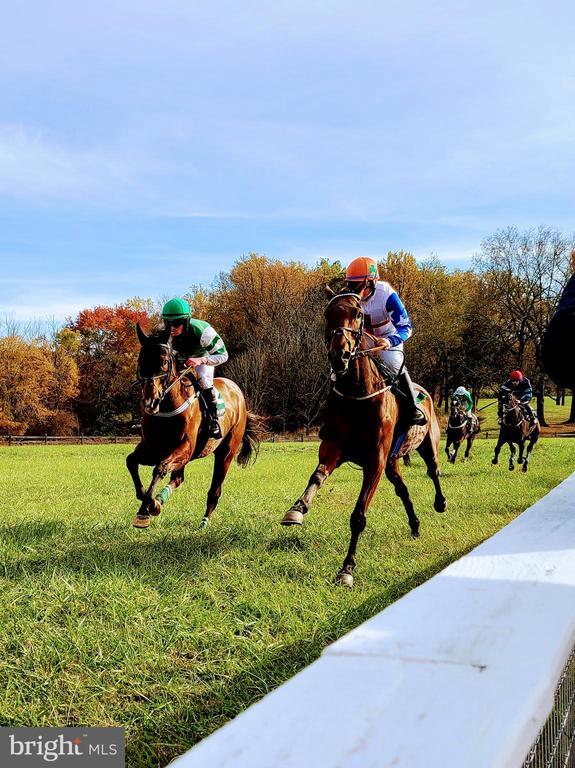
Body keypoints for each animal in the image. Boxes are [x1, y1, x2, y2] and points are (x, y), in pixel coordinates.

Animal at [128, 324, 264, 528]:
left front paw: (146, 509)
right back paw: (160, 501)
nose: (150, 402)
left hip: (227, 452)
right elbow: (131, 461)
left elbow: (159, 468)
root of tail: (237, 391)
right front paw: (147, 499)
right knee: (178, 478)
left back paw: (204, 522)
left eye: (164, 362)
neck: (167, 407)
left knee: (215, 490)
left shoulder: (185, 447)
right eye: (141, 360)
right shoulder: (152, 448)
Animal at [282, 292, 448, 584]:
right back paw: (415, 525)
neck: (357, 394)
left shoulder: (375, 461)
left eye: (358, 313)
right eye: (327, 314)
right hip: (393, 462)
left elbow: (359, 515)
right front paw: (298, 508)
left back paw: (440, 503)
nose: (340, 355)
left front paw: (347, 568)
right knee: (403, 489)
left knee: (433, 471)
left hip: (427, 445)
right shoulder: (335, 447)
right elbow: (317, 476)